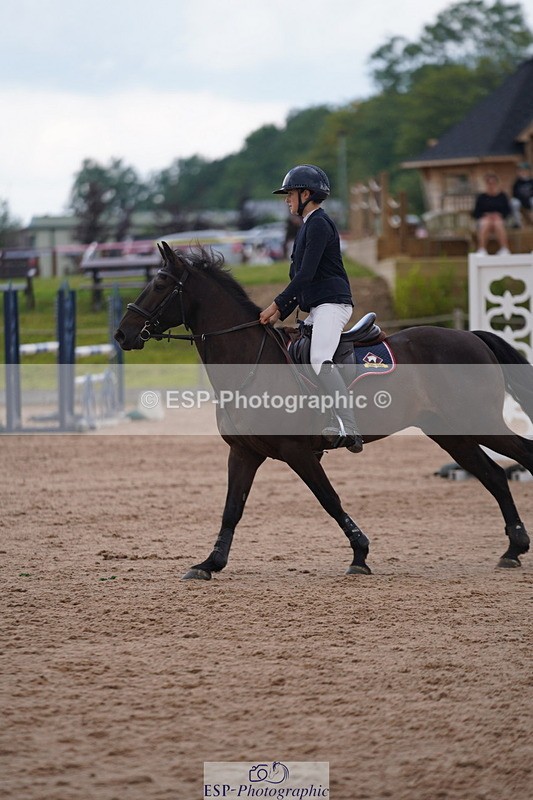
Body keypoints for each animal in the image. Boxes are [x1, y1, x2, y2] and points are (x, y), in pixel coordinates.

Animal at [114, 241, 533, 579]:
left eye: (160, 285)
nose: (121, 334)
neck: (250, 362)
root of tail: (470, 337)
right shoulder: (244, 452)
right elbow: (232, 508)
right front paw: (209, 564)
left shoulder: (297, 452)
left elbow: (330, 500)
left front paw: (360, 555)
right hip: (452, 434)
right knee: (495, 475)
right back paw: (513, 549)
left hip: (479, 423)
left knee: (520, 455)